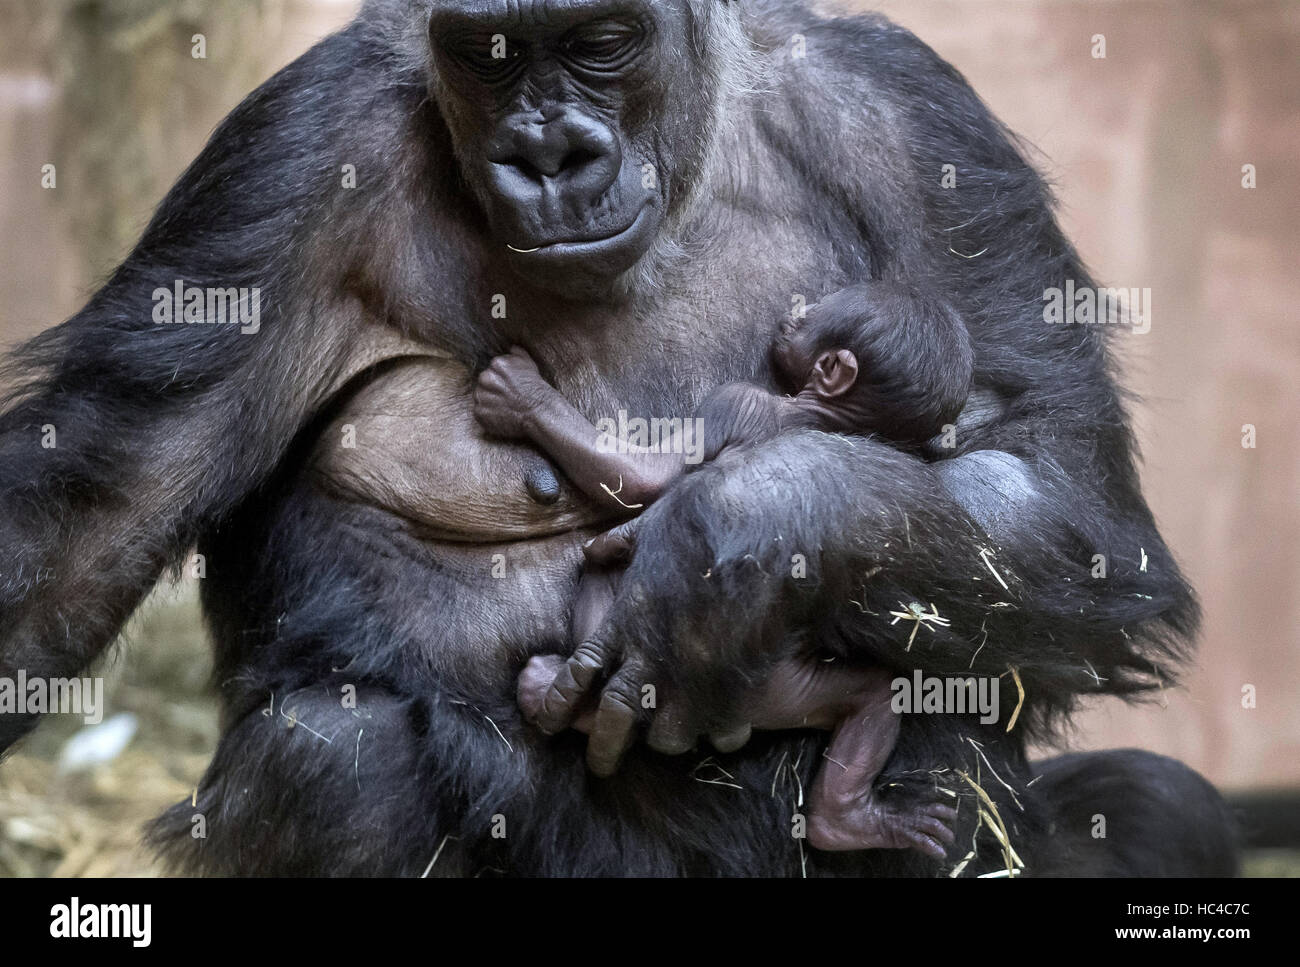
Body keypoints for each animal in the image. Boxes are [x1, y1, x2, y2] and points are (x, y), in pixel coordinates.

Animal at [478, 283, 977, 857]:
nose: (796, 312)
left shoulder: (737, 400)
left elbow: (644, 478)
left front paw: (521, 395)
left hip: (754, 691)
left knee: (605, 581)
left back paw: (552, 692)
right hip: (791, 694)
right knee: (877, 694)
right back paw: (850, 822)